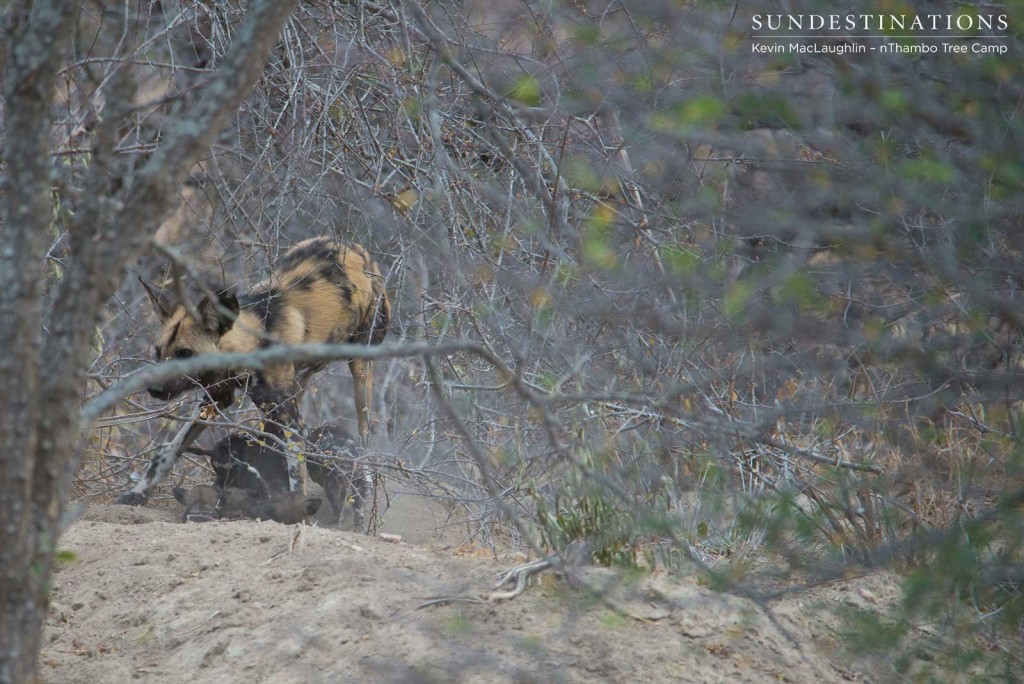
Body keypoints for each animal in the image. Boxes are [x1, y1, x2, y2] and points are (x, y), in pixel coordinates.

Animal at [117, 237, 389, 505]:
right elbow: (169, 451)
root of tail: (355, 247)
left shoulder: (292, 424)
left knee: (365, 432)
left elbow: (297, 477)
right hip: (293, 388)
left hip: (359, 374)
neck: (249, 345)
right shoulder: (214, 400)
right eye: (158, 352)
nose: (154, 389)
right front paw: (138, 493)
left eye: (185, 354)